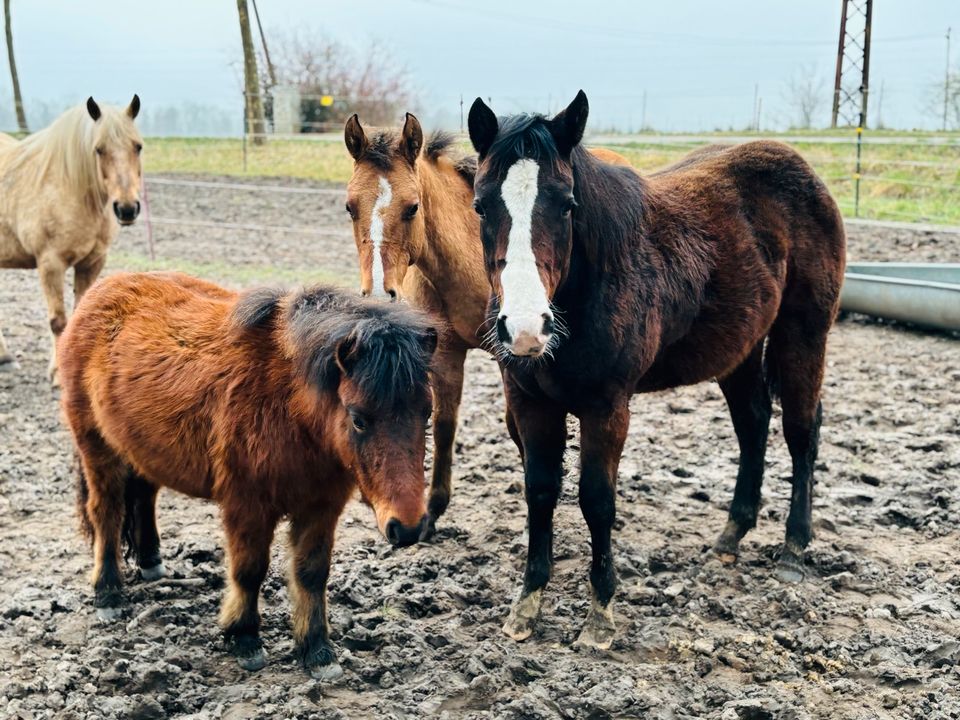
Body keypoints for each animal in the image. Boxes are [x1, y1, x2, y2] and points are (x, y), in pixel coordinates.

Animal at [0, 98, 142, 386]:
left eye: (138, 146)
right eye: (99, 149)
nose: (127, 208)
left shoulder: (92, 263)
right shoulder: (50, 264)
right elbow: (59, 321)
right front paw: (58, 375)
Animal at [58, 272, 436, 676]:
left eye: (426, 413)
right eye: (358, 418)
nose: (407, 527)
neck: (287, 406)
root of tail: (103, 288)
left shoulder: (321, 506)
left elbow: (312, 573)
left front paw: (316, 649)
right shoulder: (247, 505)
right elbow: (249, 570)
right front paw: (244, 637)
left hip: (140, 447)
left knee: (143, 496)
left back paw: (151, 562)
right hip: (97, 449)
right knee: (107, 514)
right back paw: (108, 593)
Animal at [344, 111, 632, 528]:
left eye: (412, 207)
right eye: (350, 207)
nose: (382, 295)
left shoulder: (510, 358)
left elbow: (516, 427)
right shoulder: (445, 352)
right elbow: (444, 424)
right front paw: (435, 508)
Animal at [468, 93, 844, 648]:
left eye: (567, 203)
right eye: (481, 204)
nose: (525, 329)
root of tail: (806, 173)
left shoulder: (607, 407)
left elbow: (597, 500)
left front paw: (600, 615)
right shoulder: (529, 402)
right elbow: (540, 491)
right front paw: (526, 606)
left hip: (804, 335)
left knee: (801, 432)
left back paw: (794, 550)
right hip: (740, 349)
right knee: (753, 425)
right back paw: (730, 537)